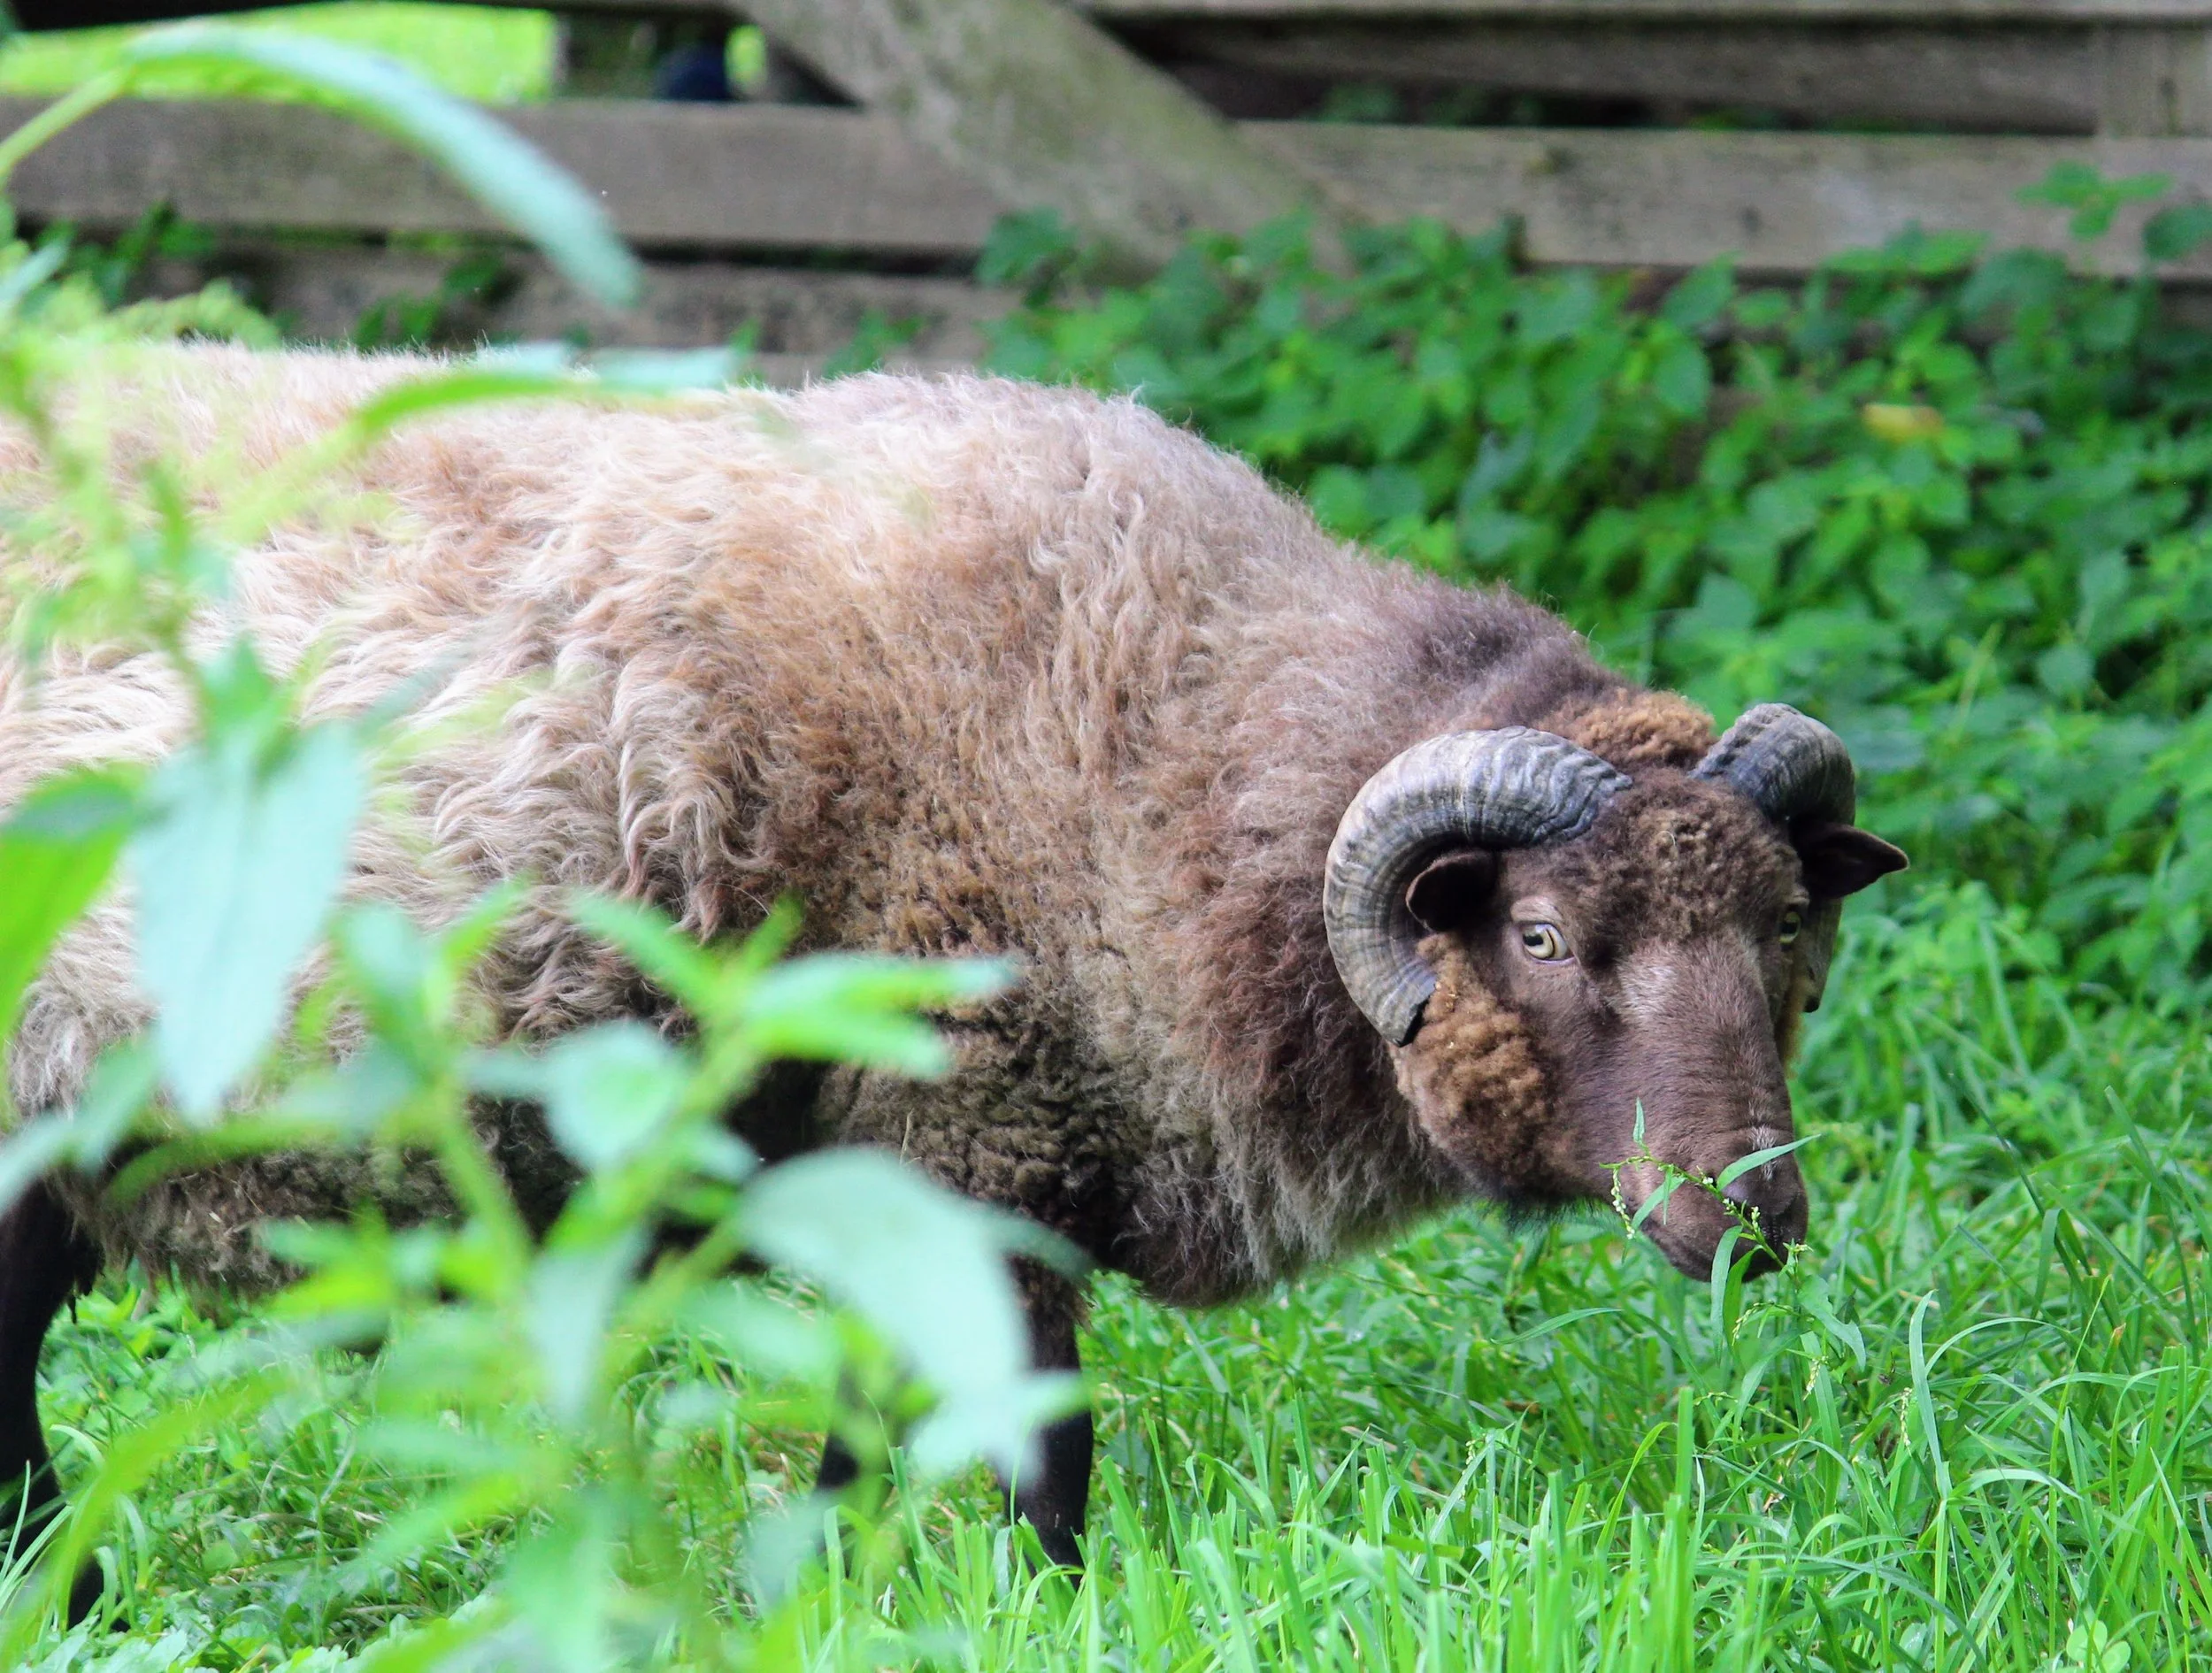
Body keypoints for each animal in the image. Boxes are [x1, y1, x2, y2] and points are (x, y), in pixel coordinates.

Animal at [0, 346, 1906, 1592]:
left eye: (1782, 937)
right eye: (1538, 935)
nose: (1750, 1217)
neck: (1179, 740)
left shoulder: (943, 1171)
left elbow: (880, 1426)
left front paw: (832, 1591)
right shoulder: (985, 1137)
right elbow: (1033, 1444)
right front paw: (1034, 1606)